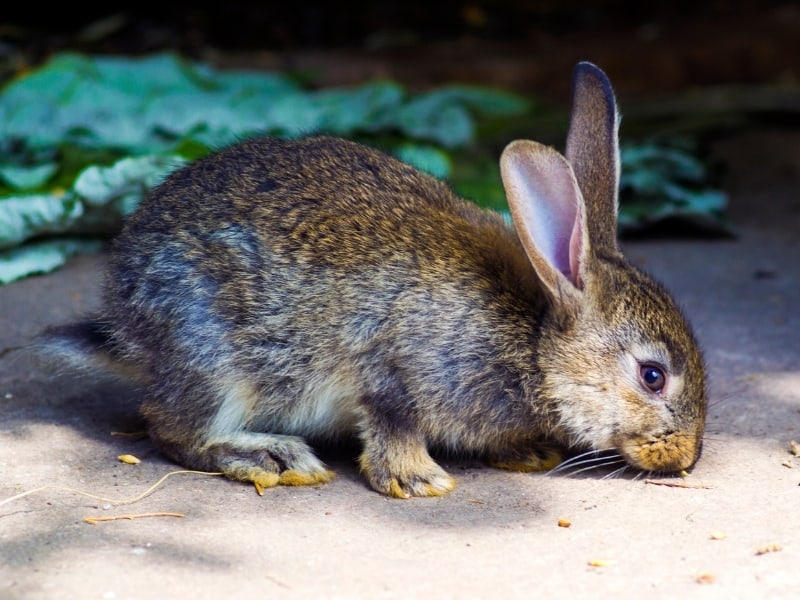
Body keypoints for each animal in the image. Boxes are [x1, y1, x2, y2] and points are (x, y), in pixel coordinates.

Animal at [42, 63, 708, 500]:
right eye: (652, 376)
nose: (686, 457)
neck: (535, 341)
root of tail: (129, 325)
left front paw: (524, 453)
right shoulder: (396, 365)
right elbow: (392, 422)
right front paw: (419, 480)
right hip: (214, 356)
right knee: (172, 426)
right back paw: (271, 456)